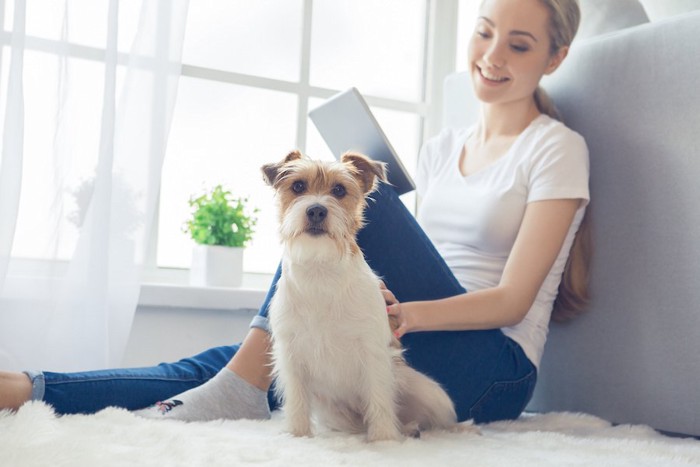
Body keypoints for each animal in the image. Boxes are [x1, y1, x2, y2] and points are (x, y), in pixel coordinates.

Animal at [260, 151, 468, 442]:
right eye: (298, 186)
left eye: (339, 190)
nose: (316, 210)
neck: (320, 269)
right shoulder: (291, 353)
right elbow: (297, 399)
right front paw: (298, 435)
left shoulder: (372, 351)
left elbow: (379, 398)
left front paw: (383, 440)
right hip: (331, 411)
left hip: (429, 392)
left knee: (437, 419)